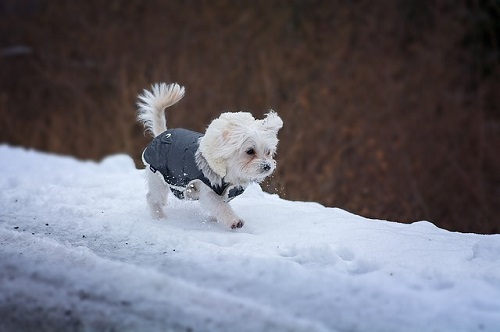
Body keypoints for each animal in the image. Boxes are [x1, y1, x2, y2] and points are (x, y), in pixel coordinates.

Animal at [137, 82, 284, 228]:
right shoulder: (208, 191)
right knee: (152, 198)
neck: (230, 173)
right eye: (250, 151)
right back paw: (159, 217)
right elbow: (220, 206)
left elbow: (219, 208)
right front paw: (234, 221)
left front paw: (214, 219)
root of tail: (162, 134)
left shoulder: (226, 193)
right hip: (159, 178)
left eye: (268, 152)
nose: (267, 166)